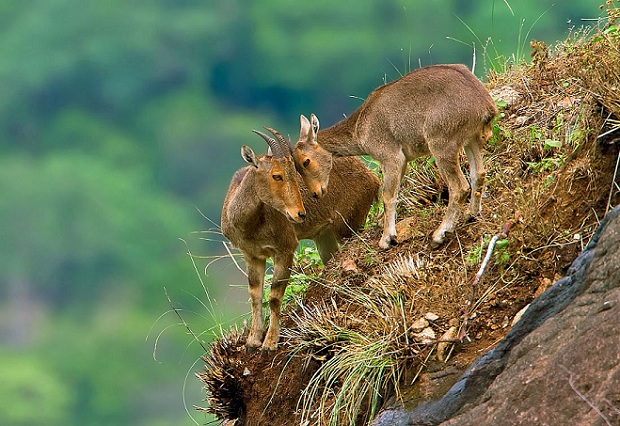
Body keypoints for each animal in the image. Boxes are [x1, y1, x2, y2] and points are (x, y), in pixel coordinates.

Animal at [220, 127, 380, 352]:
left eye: (294, 174)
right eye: (276, 175)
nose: (299, 214)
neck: (251, 224)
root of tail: (372, 177)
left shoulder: (285, 249)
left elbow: (274, 296)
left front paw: (270, 343)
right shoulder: (252, 254)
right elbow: (255, 294)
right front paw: (252, 341)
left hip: (350, 224)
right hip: (325, 237)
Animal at [294, 64, 496, 248]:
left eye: (306, 161)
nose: (316, 192)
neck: (361, 126)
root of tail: (485, 105)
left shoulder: (390, 157)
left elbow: (387, 195)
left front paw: (386, 240)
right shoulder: (403, 161)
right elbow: (395, 193)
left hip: (442, 144)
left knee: (459, 187)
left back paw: (440, 235)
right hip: (470, 140)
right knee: (479, 174)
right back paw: (471, 214)